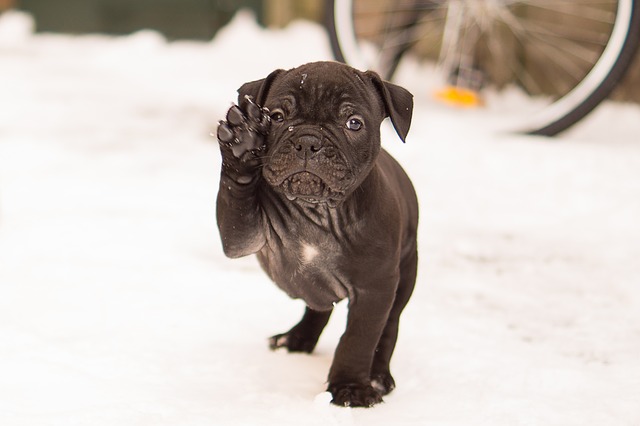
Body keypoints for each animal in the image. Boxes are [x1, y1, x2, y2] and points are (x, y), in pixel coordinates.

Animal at [216, 60, 420, 406]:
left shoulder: (374, 288)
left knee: (389, 327)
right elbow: (235, 196)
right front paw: (241, 144)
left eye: (353, 123)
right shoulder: (242, 235)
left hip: (404, 277)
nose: (309, 141)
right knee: (318, 308)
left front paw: (350, 387)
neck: (318, 209)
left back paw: (378, 376)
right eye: (277, 117)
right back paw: (296, 339)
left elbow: (359, 338)